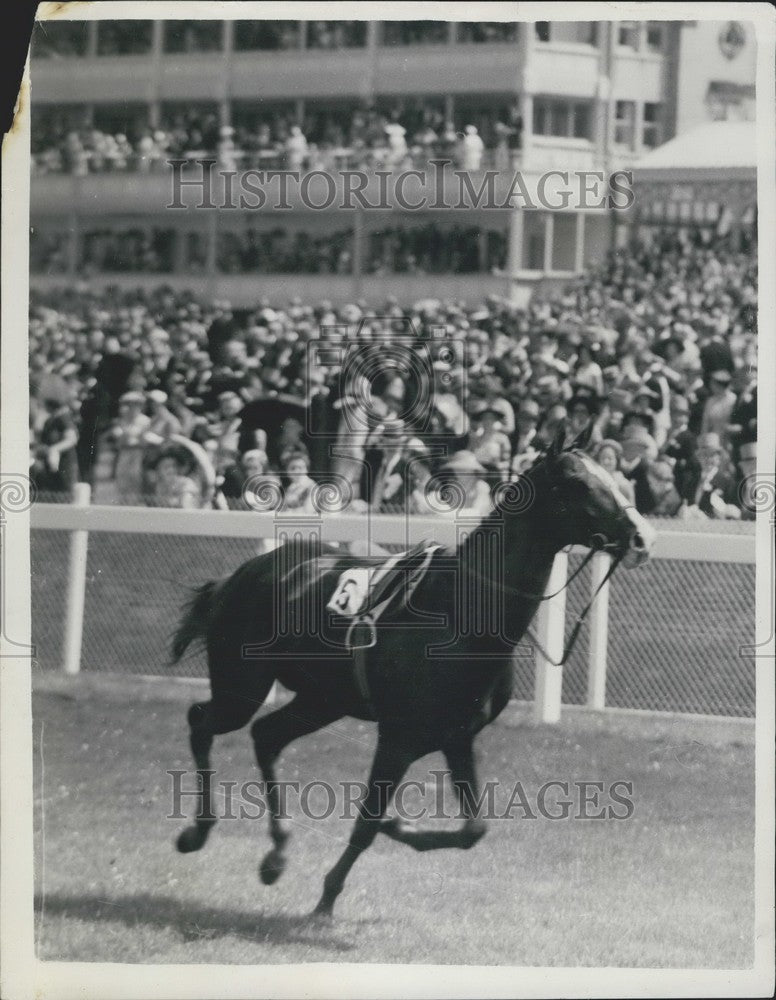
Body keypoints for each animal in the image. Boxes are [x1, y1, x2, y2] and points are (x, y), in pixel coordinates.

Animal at [171, 422, 656, 916]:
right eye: (577, 482)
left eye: (610, 474)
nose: (642, 537)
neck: (460, 615)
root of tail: (240, 574)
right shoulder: (398, 738)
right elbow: (367, 822)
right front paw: (328, 897)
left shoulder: (458, 737)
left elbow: (473, 829)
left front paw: (399, 829)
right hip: (243, 688)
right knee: (203, 721)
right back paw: (199, 831)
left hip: (321, 701)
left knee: (266, 736)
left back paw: (276, 852)